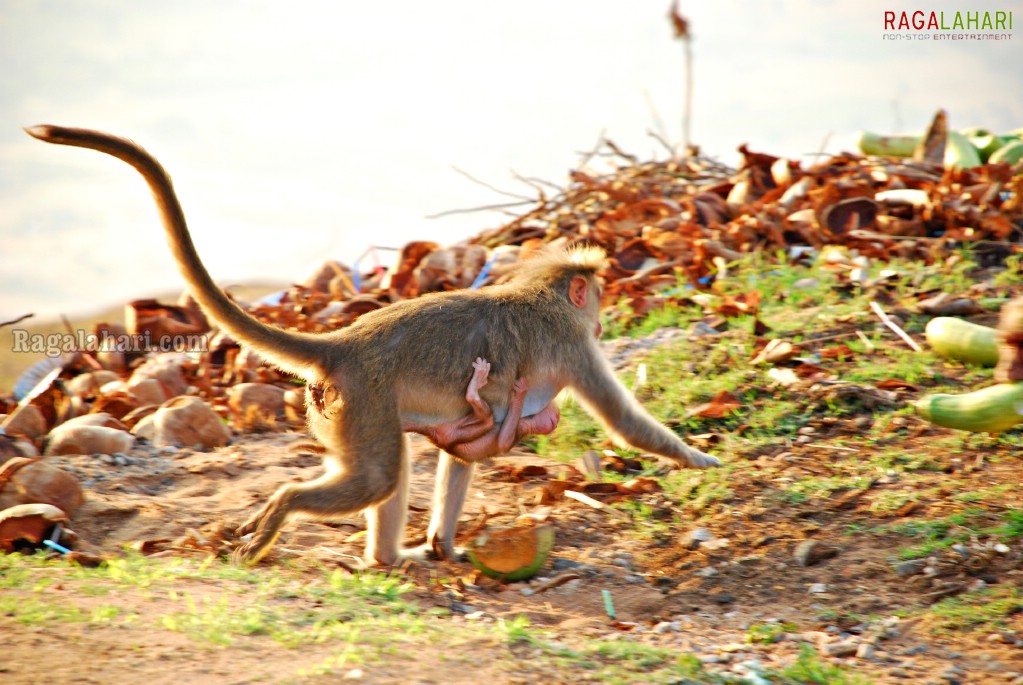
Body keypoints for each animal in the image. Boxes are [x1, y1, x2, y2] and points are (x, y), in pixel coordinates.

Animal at [25, 126, 720, 564]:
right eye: (594, 301)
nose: (602, 319)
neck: (542, 295)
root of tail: (344, 346)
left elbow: (459, 460)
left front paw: (445, 544)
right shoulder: (576, 349)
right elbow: (626, 424)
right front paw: (704, 461)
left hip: (347, 408)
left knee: (395, 470)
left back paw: (387, 556)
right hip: (361, 400)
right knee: (381, 474)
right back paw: (284, 513)